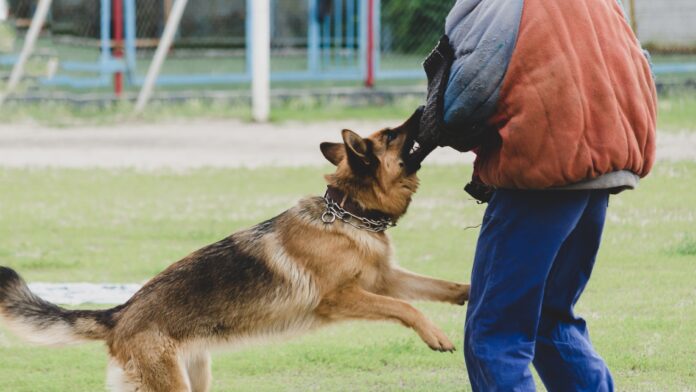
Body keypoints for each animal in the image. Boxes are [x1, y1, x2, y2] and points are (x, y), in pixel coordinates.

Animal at [0, 108, 470, 390]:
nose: (423, 111)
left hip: (196, 376)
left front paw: (467, 292)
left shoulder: (384, 279)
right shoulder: (343, 298)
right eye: (392, 134)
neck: (348, 213)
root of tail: (119, 314)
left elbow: (436, 286)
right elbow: (406, 308)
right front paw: (437, 334)